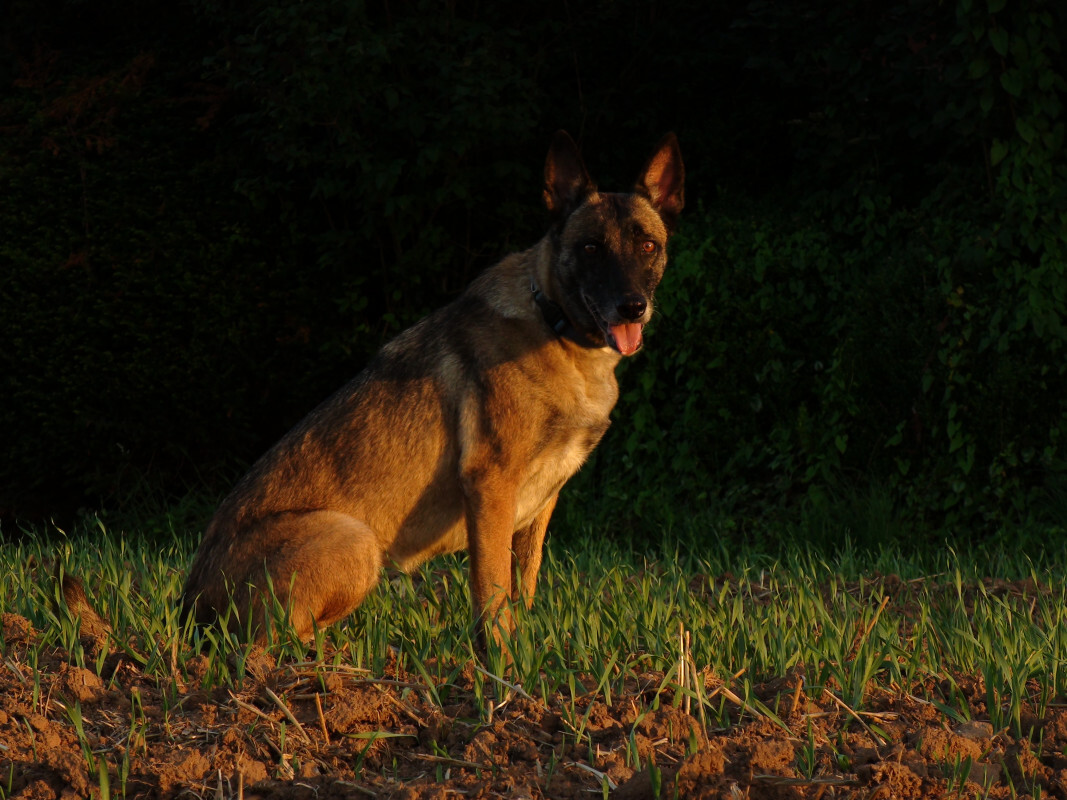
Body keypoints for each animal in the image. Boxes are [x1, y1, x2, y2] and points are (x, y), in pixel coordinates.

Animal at [181, 131, 682, 644]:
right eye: (590, 248)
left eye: (647, 245)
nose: (632, 307)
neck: (553, 322)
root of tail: (190, 607)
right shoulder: (491, 485)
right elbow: (492, 595)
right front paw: (500, 659)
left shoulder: (542, 501)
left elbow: (524, 586)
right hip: (355, 538)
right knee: (273, 641)